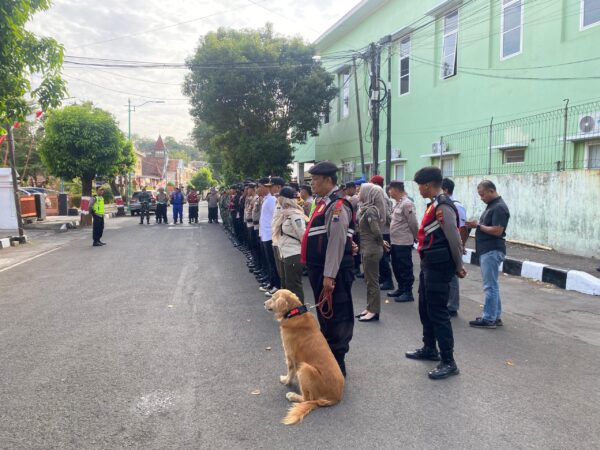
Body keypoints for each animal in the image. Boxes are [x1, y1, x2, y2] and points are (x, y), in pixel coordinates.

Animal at [264, 290, 344, 424]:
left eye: (273, 298)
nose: (264, 303)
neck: (294, 313)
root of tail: (336, 397)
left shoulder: (290, 355)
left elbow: (290, 372)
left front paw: (285, 380)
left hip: (305, 368)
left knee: (307, 398)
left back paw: (292, 395)